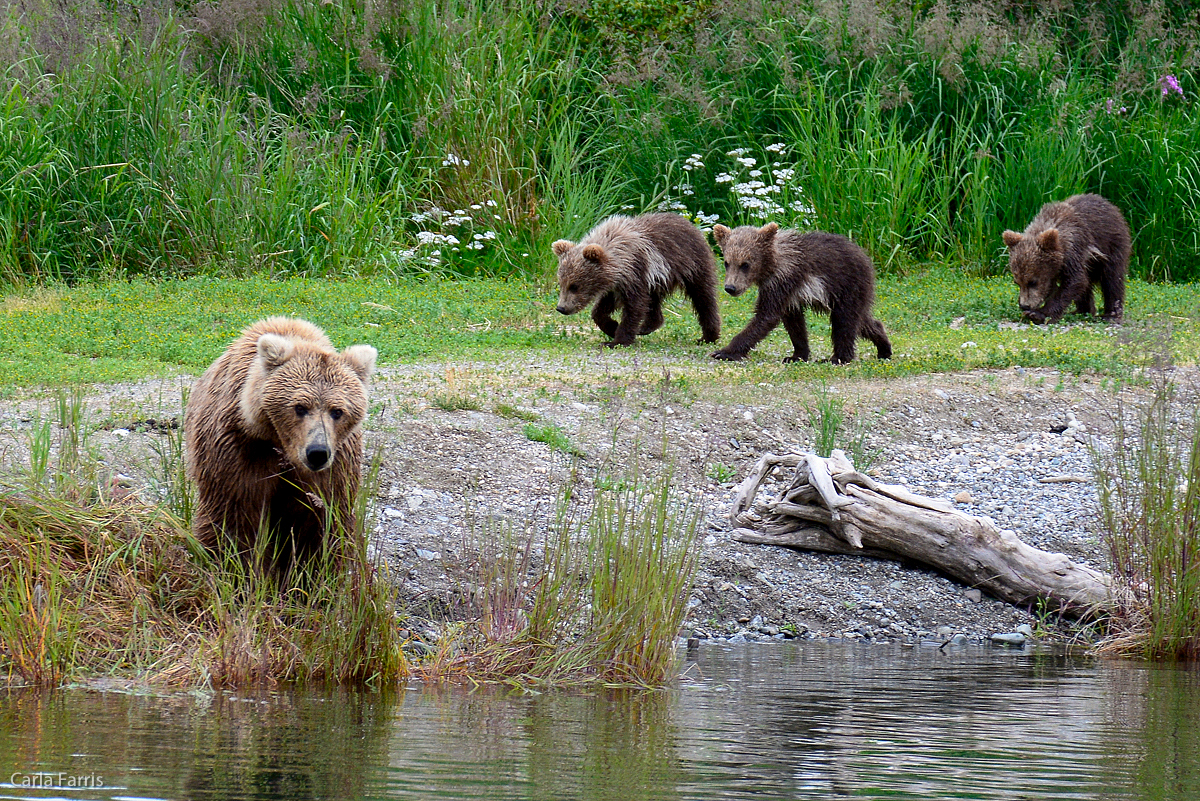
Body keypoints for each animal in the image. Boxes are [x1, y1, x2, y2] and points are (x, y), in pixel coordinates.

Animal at [184, 314, 374, 568]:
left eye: (337, 411)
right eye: (300, 407)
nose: (317, 452)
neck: (281, 444)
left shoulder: (334, 466)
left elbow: (322, 521)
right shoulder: (239, 449)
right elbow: (233, 517)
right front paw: (233, 565)